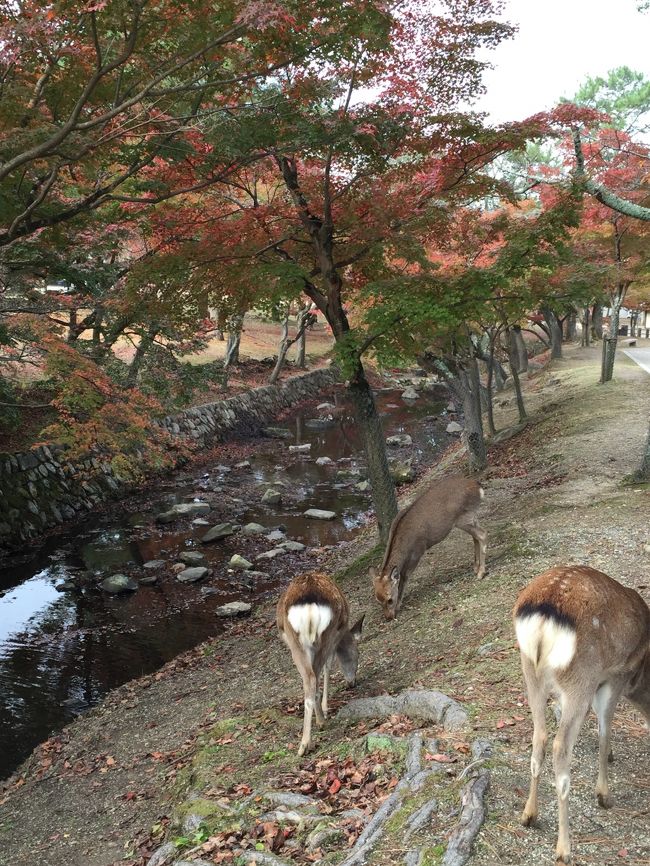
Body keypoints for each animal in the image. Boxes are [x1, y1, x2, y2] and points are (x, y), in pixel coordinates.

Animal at [277, 571, 364, 756]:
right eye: (358, 654)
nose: (352, 682)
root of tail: (310, 606)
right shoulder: (335, 637)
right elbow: (329, 666)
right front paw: (325, 708)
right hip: (325, 636)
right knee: (314, 676)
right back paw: (318, 726)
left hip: (298, 643)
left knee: (310, 679)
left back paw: (305, 743)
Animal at [370, 475, 486, 620]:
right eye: (377, 600)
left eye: (390, 599)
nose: (389, 617)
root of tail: (478, 486)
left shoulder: (418, 549)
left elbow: (404, 575)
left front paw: (399, 604)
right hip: (471, 517)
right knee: (475, 537)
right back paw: (476, 568)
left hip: (463, 519)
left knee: (482, 534)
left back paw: (481, 573)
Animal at [514, 565, 650, 865]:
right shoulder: (615, 676)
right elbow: (604, 728)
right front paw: (604, 794)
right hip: (581, 676)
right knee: (560, 748)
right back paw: (564, 848)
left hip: (531, 674)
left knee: (539, 738)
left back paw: (529, 814)